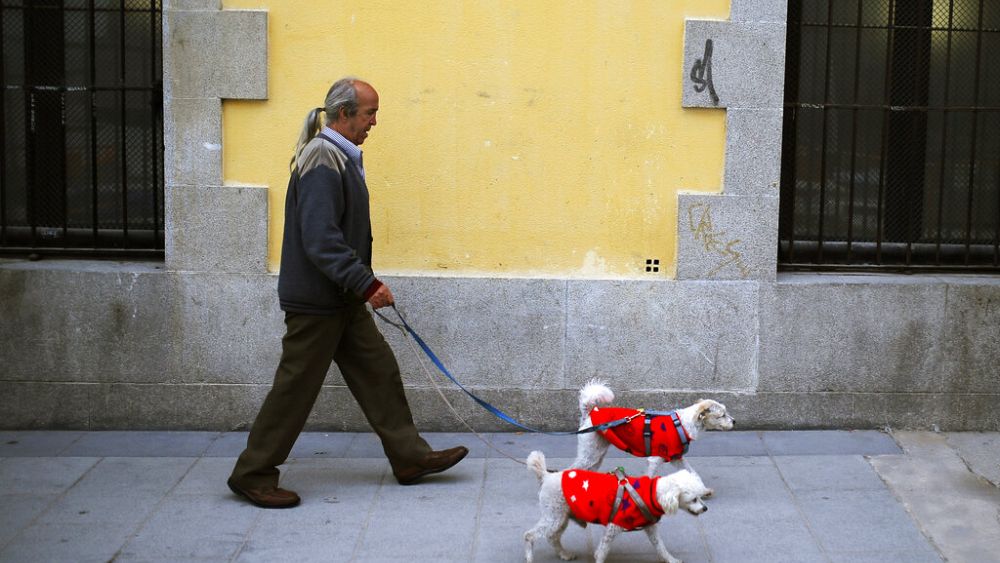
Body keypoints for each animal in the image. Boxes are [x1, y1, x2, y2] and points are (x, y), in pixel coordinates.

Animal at [524, 452, 712, 563]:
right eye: (694, 499)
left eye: (700, 497)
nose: (705, 509)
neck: (652, 493)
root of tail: (547, 475)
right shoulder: (613, 527)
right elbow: (601, 552)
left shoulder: (650, 527)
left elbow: (660, 546)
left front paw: (671, 559)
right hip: (554, 516)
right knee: (529, 535)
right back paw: (530, 557)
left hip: (561, 516)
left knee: (552, 537)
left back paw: (564, 554)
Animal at [572, 384, 736, 490]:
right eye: (722, 415)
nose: (734, 421)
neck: (682, 424)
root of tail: (590, 412)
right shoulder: (656, 459)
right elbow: (650, 477)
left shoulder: (677, 458)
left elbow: (693, 473)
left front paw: (702, 489)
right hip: (589, 453)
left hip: (597, 452)